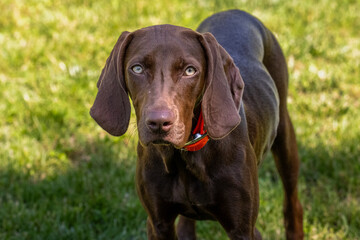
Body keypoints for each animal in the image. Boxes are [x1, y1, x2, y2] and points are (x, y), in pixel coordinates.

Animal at [90, 9, 304, 240]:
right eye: (137, 68)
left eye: (190, 71)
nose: (159, 123)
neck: (185, 156)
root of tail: (235, 11)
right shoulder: (158, 224)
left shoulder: (243, 229)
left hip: (284, 139)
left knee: (292, 199)